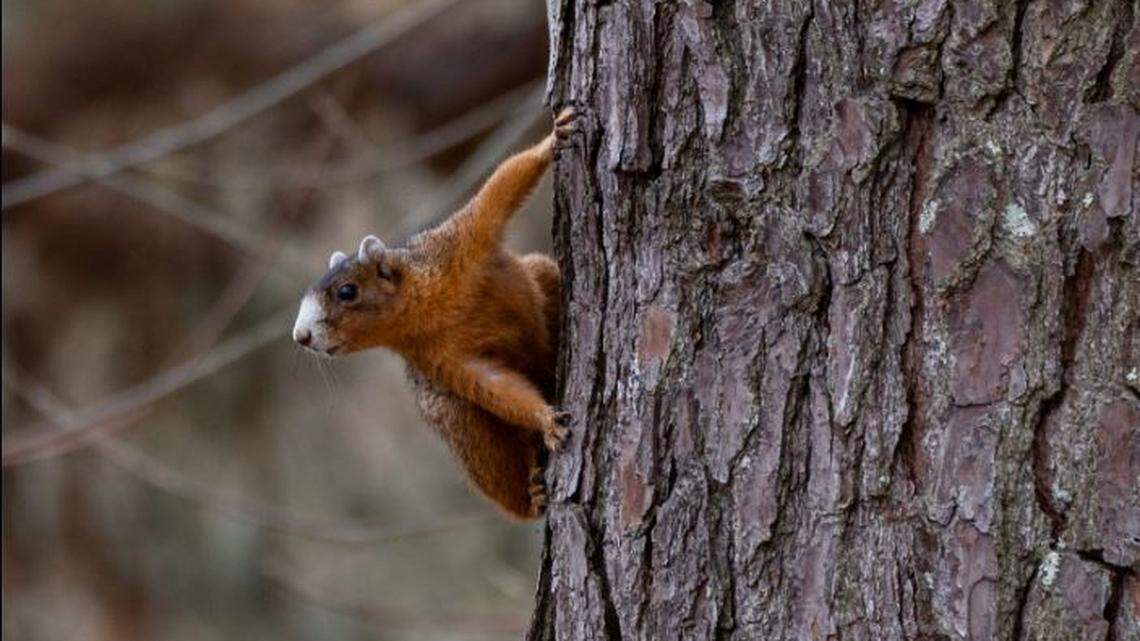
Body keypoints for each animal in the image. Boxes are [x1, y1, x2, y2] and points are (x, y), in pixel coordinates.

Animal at [292, 108, 578, 519]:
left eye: (347, 291)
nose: (300, 336)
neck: (423, 309)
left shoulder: (461, 242)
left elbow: (501, 188)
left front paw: (554, 138)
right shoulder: (443, 360)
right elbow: (497, 388)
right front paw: (545, 418)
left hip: (540, 272)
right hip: (454, 417)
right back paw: (533, 497)